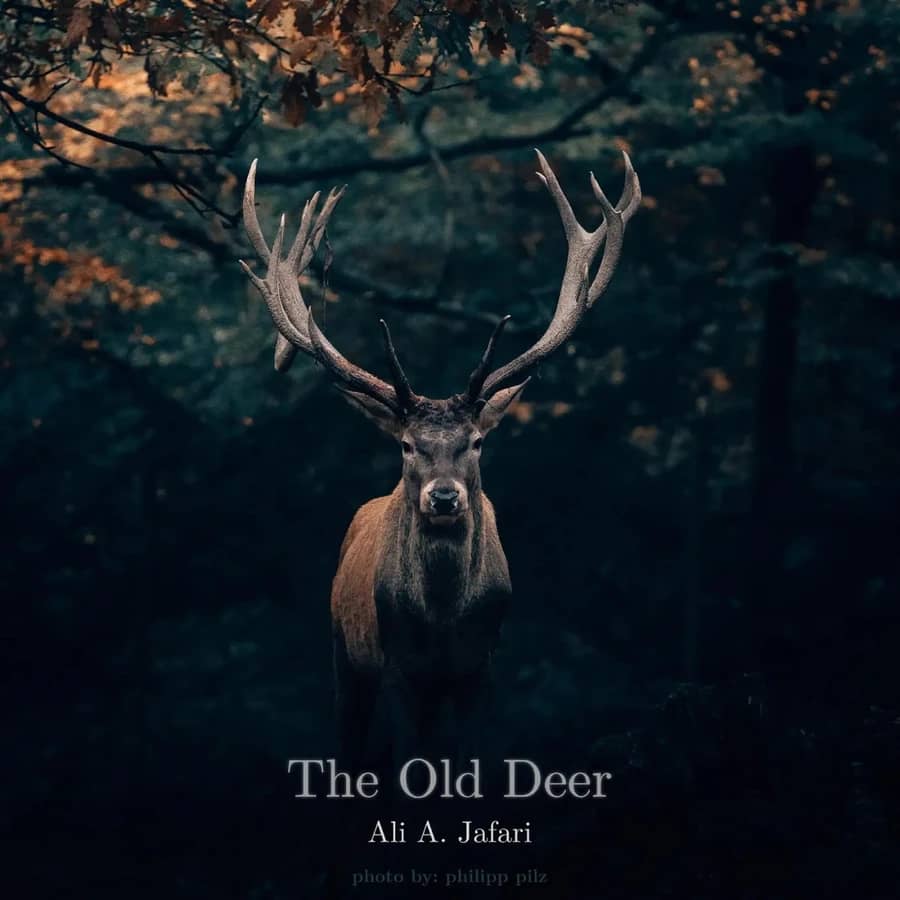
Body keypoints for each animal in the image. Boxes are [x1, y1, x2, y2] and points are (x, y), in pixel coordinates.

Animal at [238, 149, 641, 766]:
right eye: (407, 445)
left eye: (476, 441)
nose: (445, 497)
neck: (444, 623)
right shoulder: (398, 666)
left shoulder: (483, 666)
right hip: (344, 655)